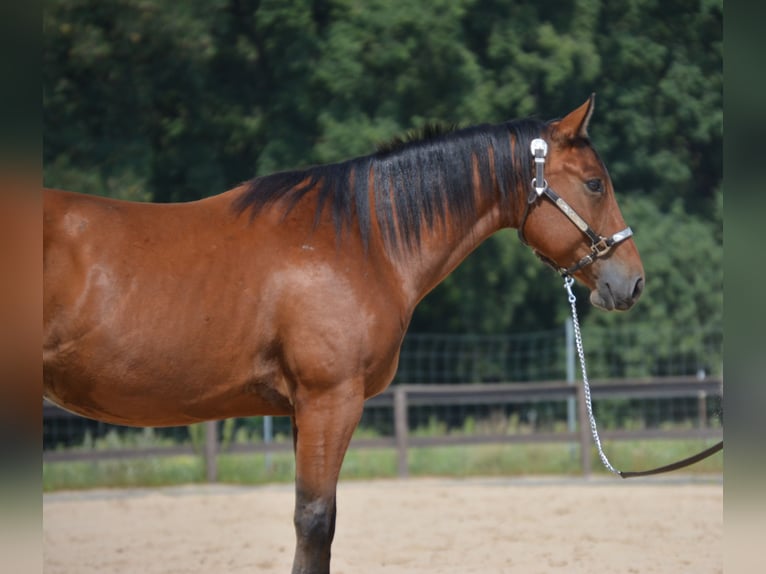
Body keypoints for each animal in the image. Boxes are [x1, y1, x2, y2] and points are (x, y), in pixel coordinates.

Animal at [43, 95, 644, 573]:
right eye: (594, 184)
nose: (632, 280)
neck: (360, 238)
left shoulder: (301, 409)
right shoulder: (329, 401)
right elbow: (315, 522)